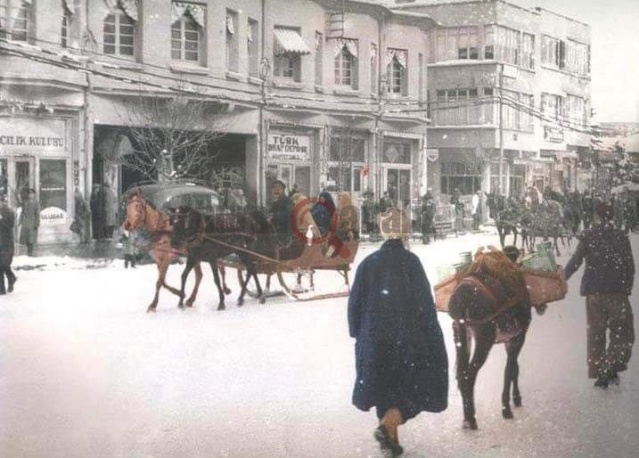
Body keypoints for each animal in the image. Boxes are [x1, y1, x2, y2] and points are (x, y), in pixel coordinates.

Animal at [447, 246, 547, 430]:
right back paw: (472, 420)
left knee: (460, 374)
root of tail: (461, 300)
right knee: (469, 375)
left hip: (460, 334)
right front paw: (508, 407)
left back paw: (465, 419)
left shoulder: (510, 339)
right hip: (484, 338)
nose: (542, 306)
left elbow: (514, 368)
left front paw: (515, 399)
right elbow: (510, 370)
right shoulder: (518, 336)